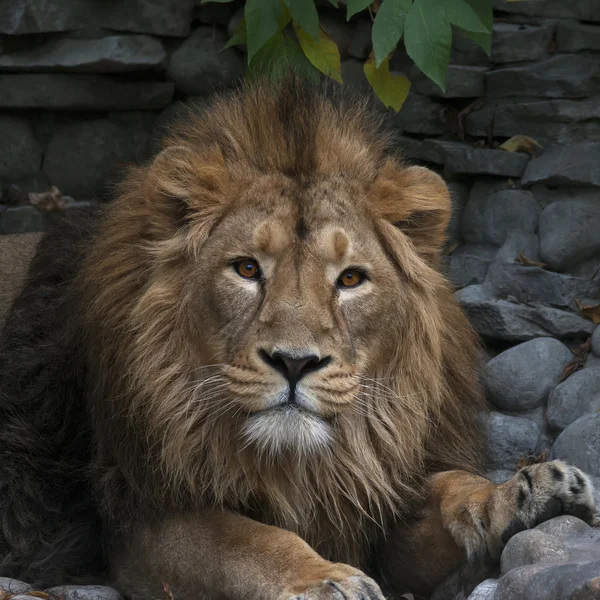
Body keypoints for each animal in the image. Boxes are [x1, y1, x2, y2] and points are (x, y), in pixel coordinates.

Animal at [0, 79, 596, 600]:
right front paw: (326, 580)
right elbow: (242, 540)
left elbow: (449, 488)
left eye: (350, 278)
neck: (301, 468)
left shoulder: (371, 492)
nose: (293, 362)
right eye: (246, 268)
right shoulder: (138, 515)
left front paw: (529, 493)